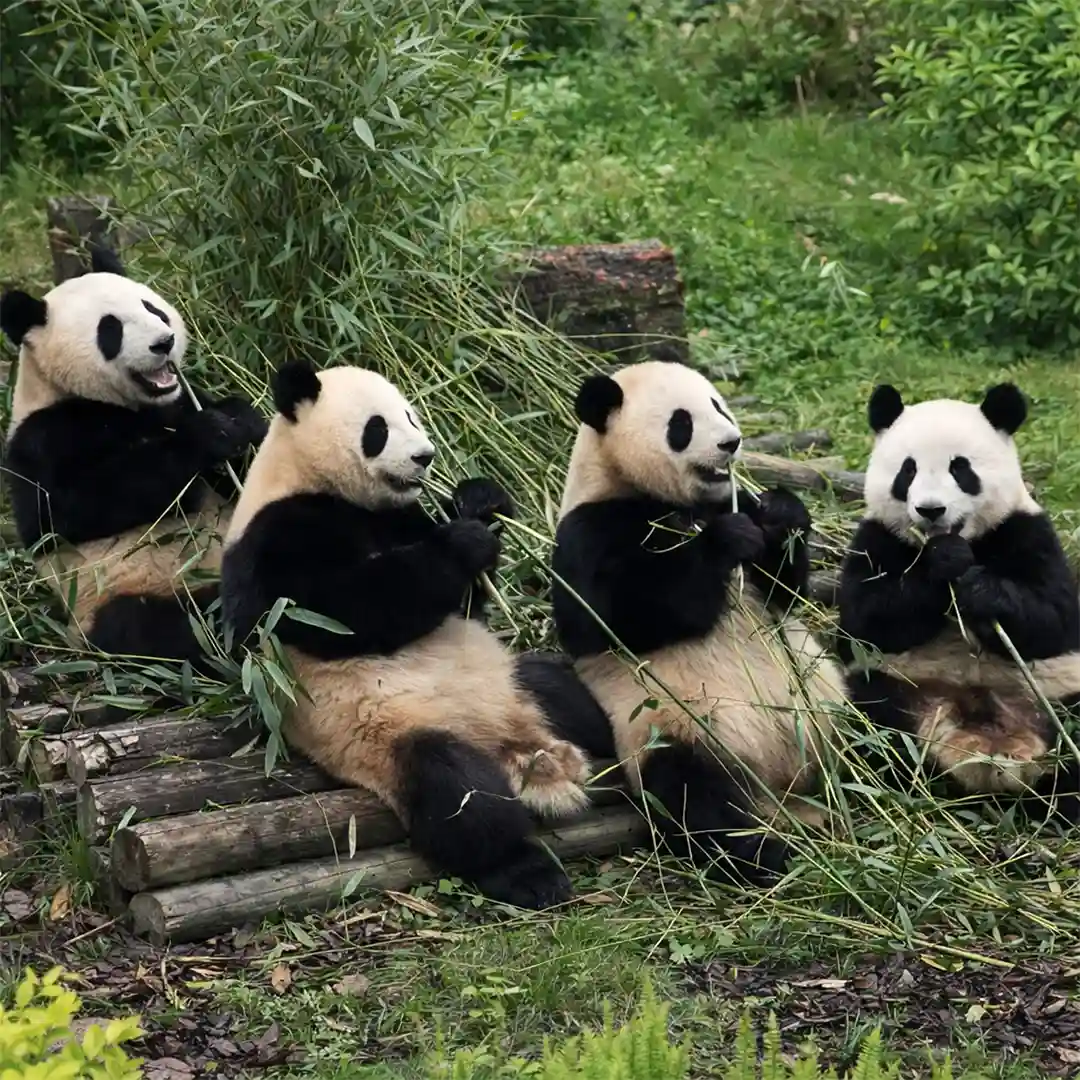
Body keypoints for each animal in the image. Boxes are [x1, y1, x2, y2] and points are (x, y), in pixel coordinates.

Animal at [0, 246, 266, 670]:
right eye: (110, 329)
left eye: (152, 308)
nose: (165, 342)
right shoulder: (42, 436)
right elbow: (66, 510)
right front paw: (209, 437)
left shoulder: (177, 400)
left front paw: (242, 419)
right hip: (114, 596)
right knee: (156, 627)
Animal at [219, 358, 613, 909]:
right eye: (378, 428)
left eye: (411, 414)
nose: (425, 456)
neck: (316, 481)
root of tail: (511, 743)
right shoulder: (277, 535)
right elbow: (339, 611)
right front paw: (464, 541)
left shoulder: (400, 516)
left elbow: (465, 605)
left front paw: (481, 502)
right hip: (396, 738)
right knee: (459, 795)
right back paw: (528, 873)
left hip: (514, 683)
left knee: (575, 701)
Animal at [550, 360, 846, 886]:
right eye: (681, 424)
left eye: (719, 406)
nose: (731, 442)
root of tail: (783, 781)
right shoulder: (590, 530)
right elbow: (611, 620)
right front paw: (725, 540)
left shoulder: (730, 498)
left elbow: (786, 592)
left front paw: (781, 511)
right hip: (675, 727)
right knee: (694, 796)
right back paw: (762, 855)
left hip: (827, 706)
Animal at [837, 382, 1080, 821]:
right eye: (908, 470)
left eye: (960, 468)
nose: (931, 510)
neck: (963, 538)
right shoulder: (875, 538)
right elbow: (865, 619)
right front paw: (944, 563)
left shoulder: (1026, 529)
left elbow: (1054, 618)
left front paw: (980, 590)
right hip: (899, 689)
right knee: (871, 723)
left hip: (1056, 696)